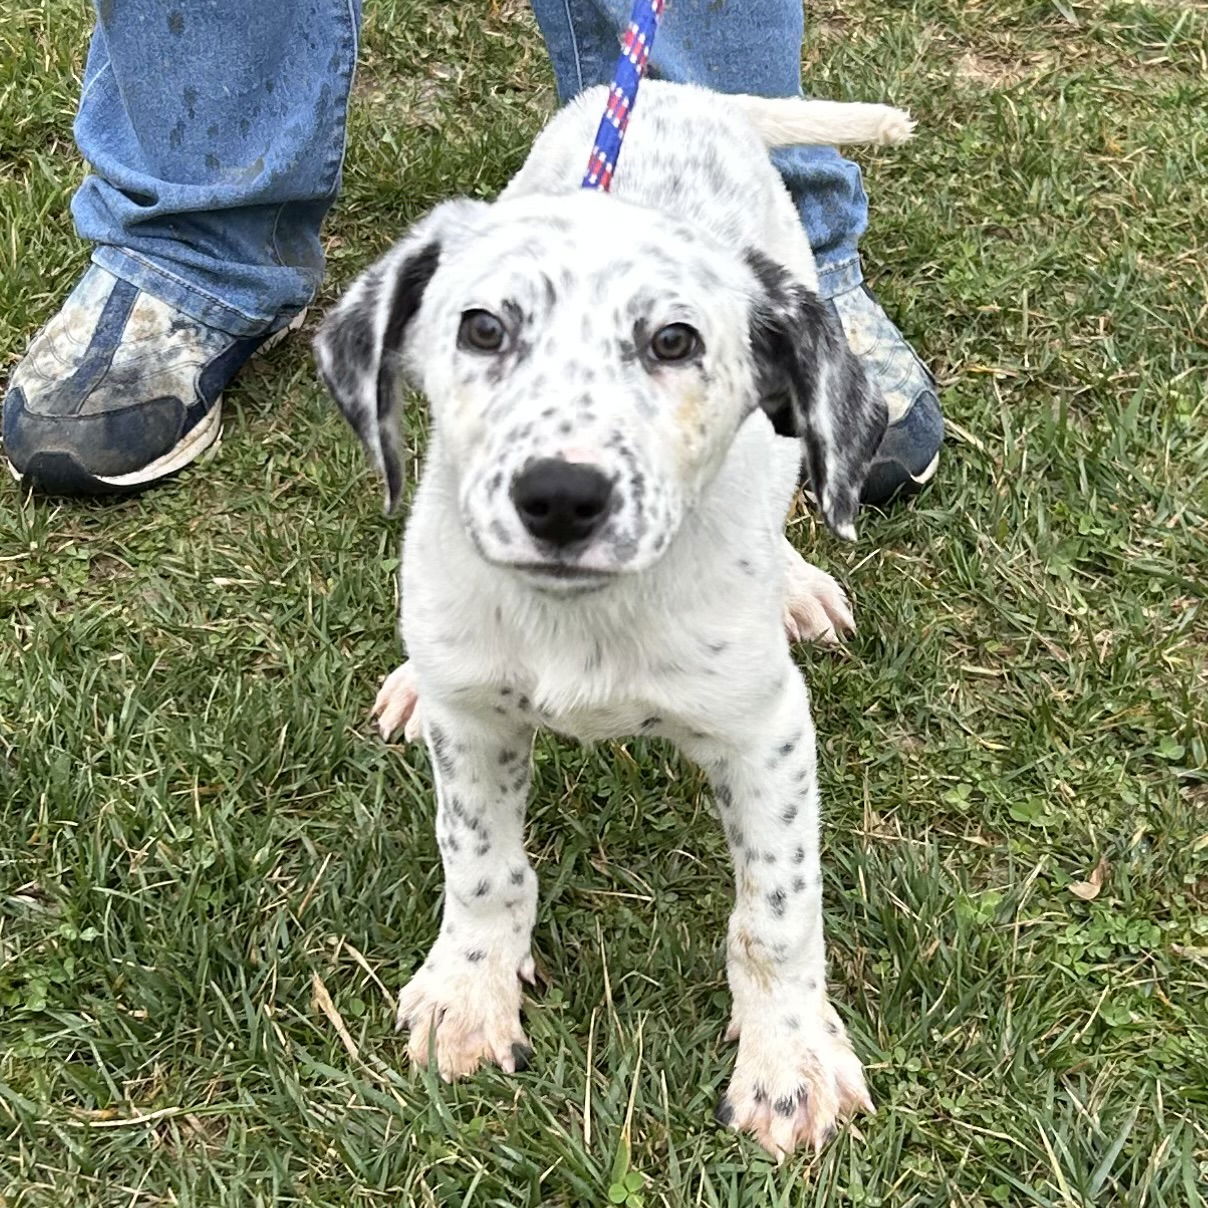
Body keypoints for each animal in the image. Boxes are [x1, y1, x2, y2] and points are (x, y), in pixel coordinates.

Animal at [316, 85, 908, 1159]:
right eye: (482, 327)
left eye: (674, 342)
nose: (560, 496)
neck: (580, 613)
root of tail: (675, 89)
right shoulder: (478, 726)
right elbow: (481, 866)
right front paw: (470, 993)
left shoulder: (765, 734)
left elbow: (775, 913)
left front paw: (789, 1061)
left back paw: (797, 583)